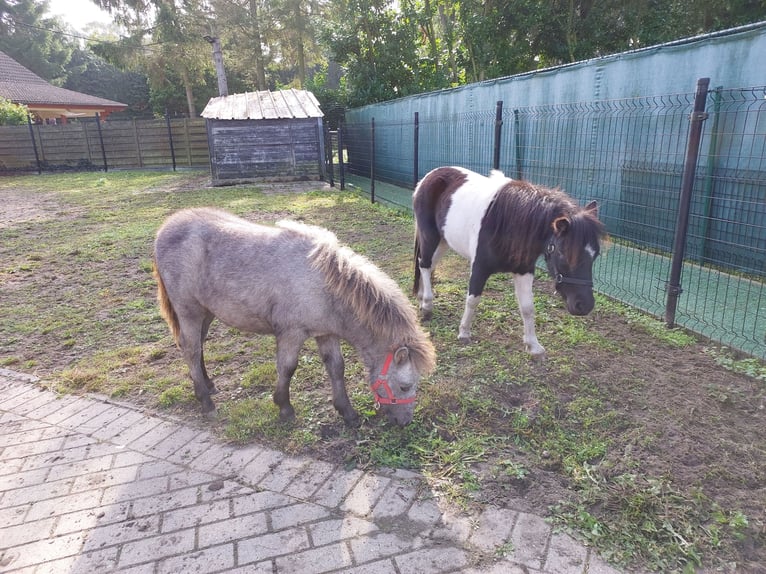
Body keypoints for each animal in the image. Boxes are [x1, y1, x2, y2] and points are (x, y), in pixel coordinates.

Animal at [154, 208, 438, 428]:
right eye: (405, 386)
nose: (405, 422)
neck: (323, 284)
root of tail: (164, 230)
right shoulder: (291, 333)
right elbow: (287, 368)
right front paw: (284, 408)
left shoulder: (326, 333)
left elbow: (337, 368)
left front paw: (347, 412)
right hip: (188, 310)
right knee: (191, 349)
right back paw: (206, 401)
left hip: (206, 312)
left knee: (198, 346)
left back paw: (208, 384)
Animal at [414, 164, 608, 358]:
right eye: (563, 252)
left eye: (596, 254)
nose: (584, 305)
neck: (504, 223)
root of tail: (429, 176)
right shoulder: (479, 268)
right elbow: (473, 300)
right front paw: (464, 333)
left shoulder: (524, 271)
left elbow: (528, 308)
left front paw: (533, 346)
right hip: (430, 235)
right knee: (424, 264)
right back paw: (427, 305)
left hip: (444, 241)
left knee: (429, 265)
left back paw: (421, 297)